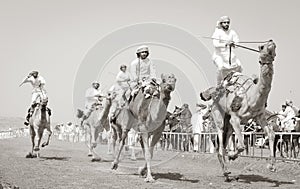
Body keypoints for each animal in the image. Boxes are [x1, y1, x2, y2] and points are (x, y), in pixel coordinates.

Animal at [200, 40, 276, 182]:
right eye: (261, 47)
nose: (271, 41)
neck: (252, 97)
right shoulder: (235, 117)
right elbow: (241, 146)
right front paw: (232, 155)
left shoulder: (259, 116)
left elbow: (271, 133)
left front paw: (271, 166)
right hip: (218, 115)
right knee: (220, 144)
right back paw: (226, 172)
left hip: (228, 122)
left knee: (224, 142)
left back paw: (227, 173)